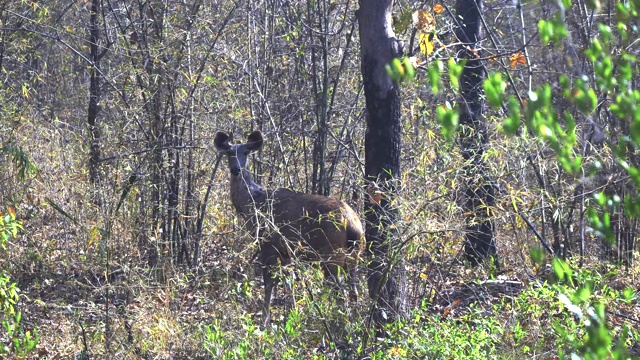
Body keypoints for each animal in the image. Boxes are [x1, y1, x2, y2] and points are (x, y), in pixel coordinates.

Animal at [216, 130, 362, 326]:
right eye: (229, 153)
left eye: (246, 152)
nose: (236, 170)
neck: (253, 204)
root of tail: (353, 225)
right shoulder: (287, 252)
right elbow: (289, 282)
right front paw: (292, 316)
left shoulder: (268, 244)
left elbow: (269, 283)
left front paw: (265, 322)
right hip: (354, 256)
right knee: (354, 292)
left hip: (331, 254)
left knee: (341, 291)